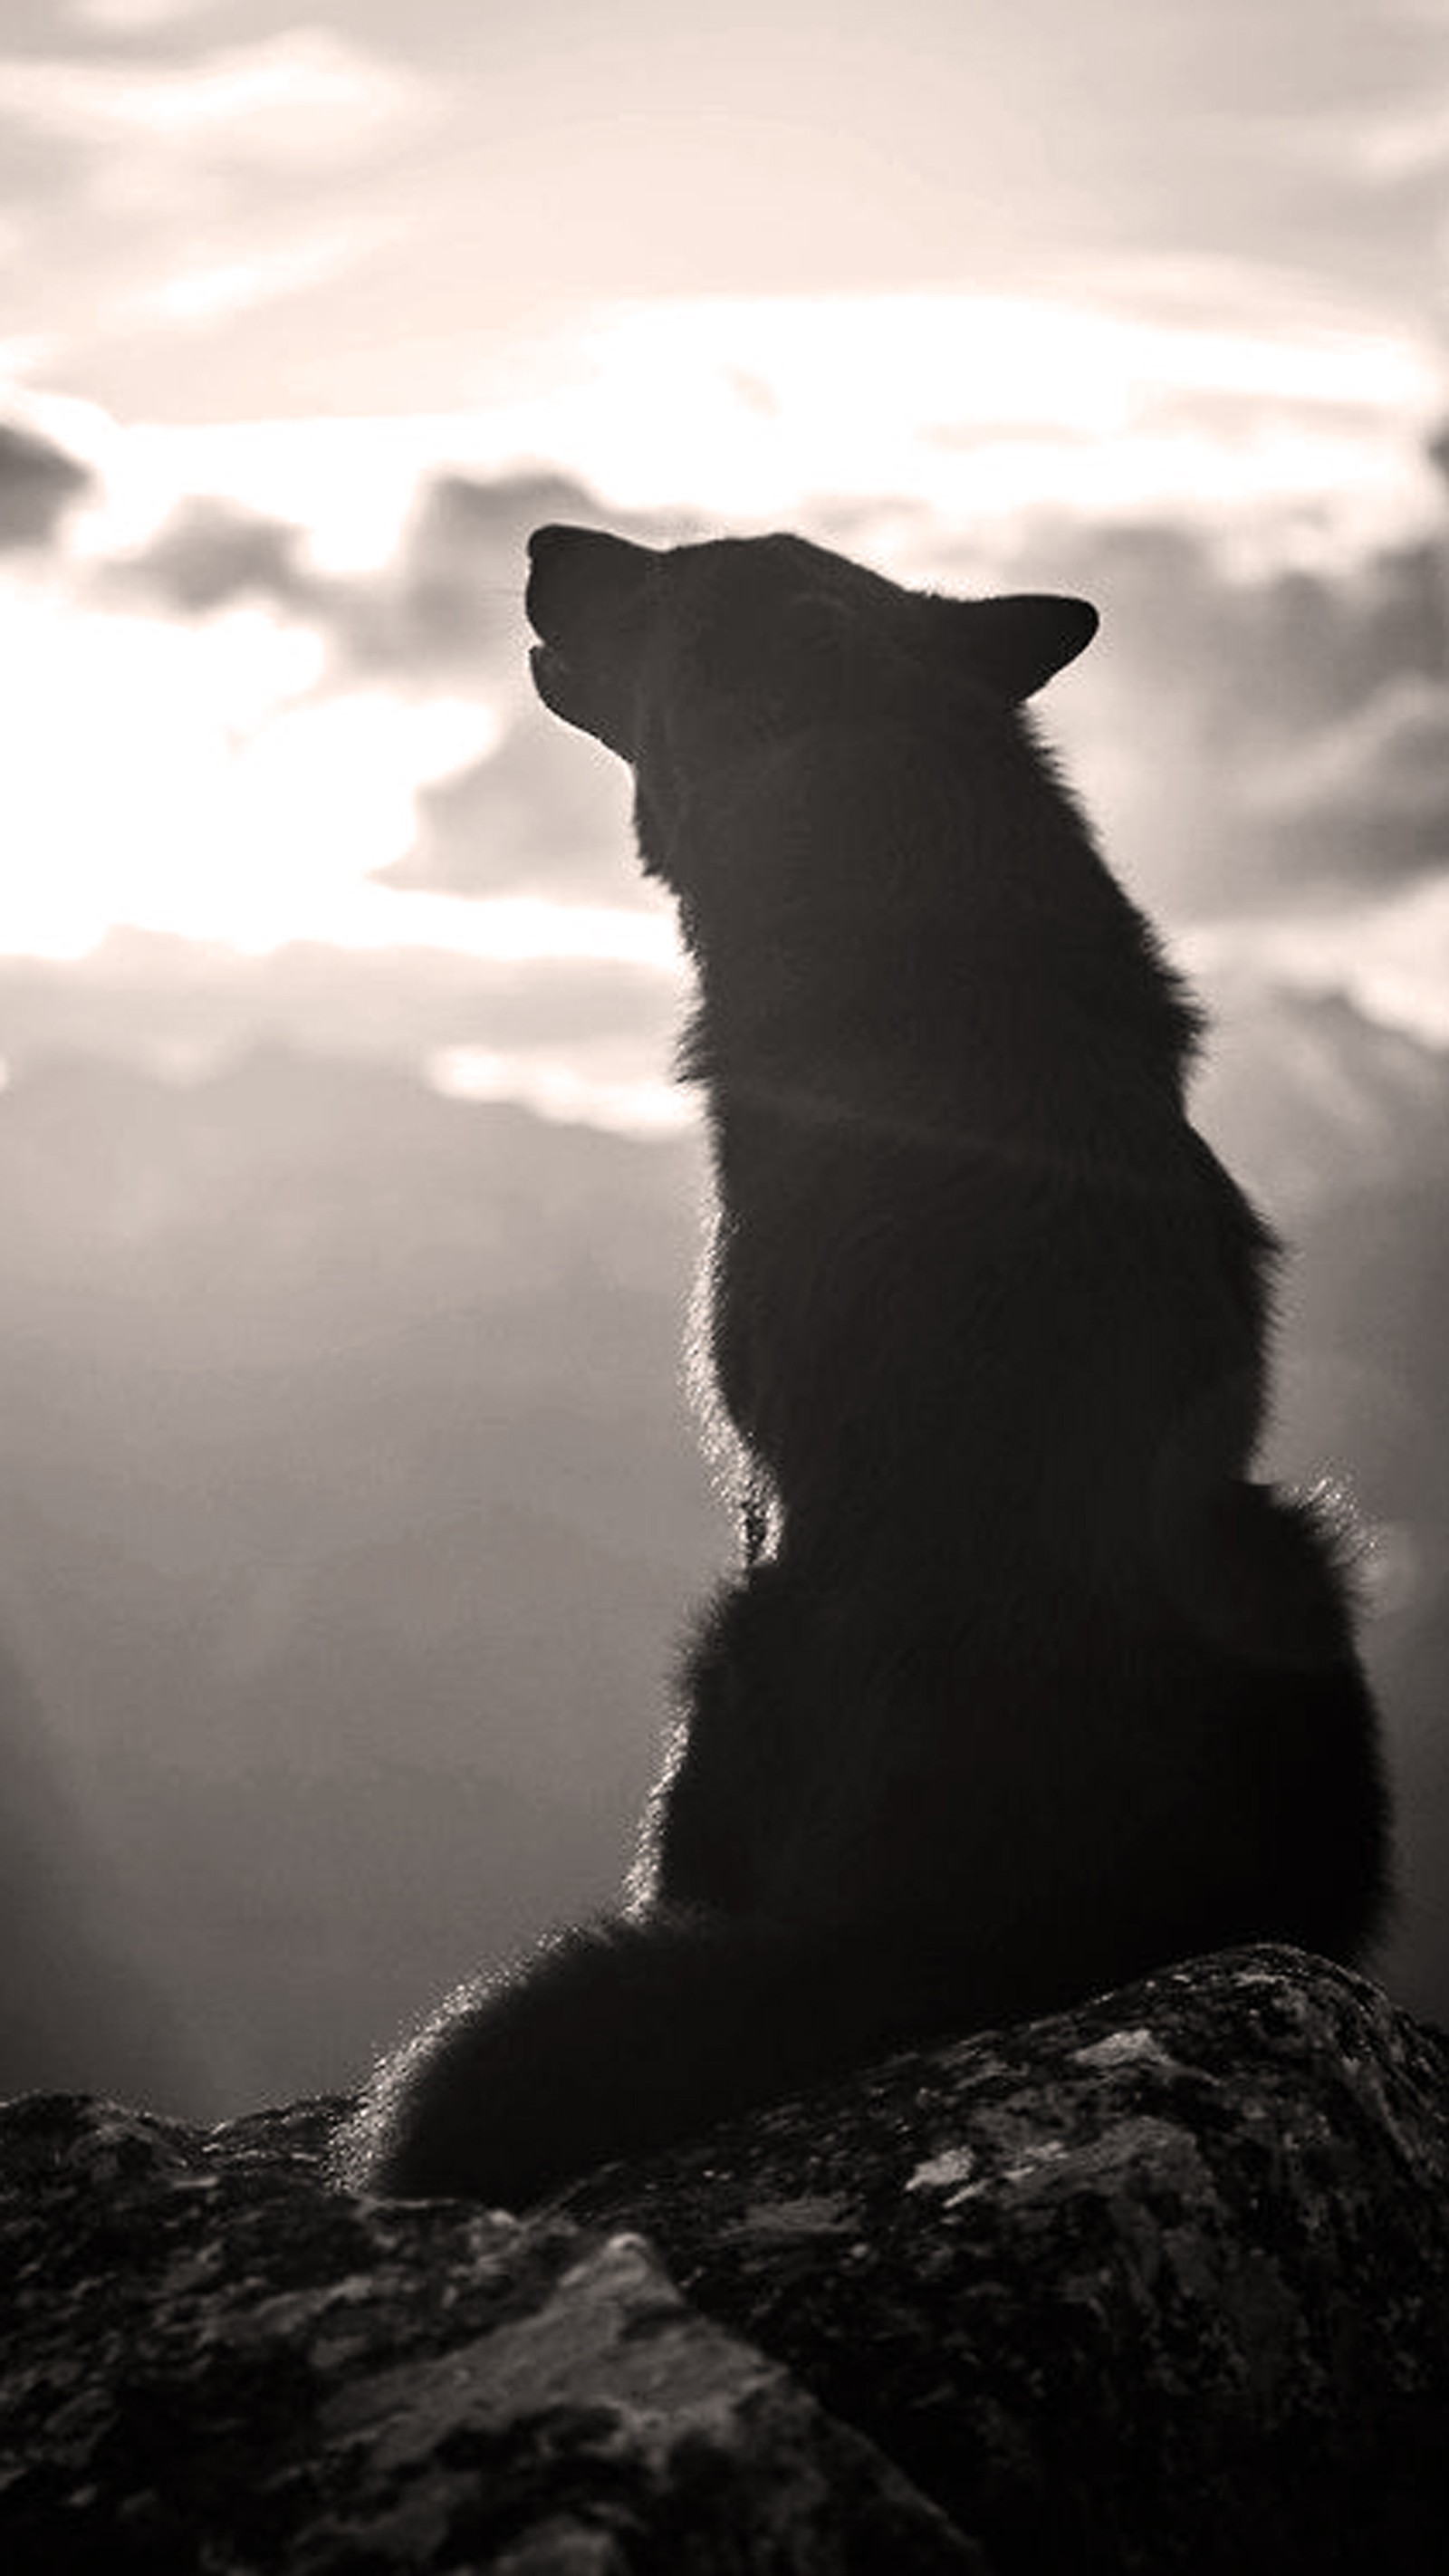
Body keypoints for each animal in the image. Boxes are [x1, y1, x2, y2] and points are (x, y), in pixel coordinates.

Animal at [334, 533, 1389, 2205]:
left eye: (673, 575)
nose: (546, 539)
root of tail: (960, 1921)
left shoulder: (761, 1481)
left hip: (735, 1634)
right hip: (1282, 1548)